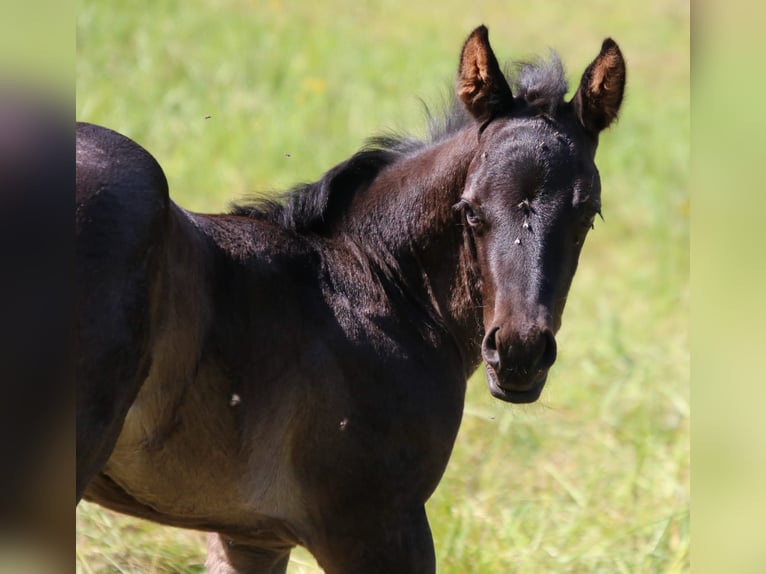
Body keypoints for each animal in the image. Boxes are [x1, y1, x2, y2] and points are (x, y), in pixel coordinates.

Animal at [75, 24, 628, 572]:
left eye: (588, 215)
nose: (518, 353)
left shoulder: (249, 535)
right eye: (470, 210)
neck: (375, 279)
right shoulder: (377, 525)